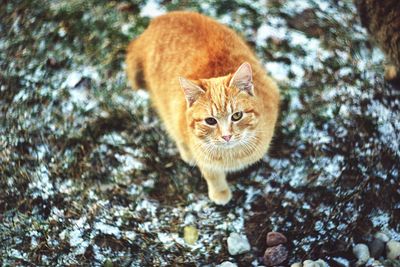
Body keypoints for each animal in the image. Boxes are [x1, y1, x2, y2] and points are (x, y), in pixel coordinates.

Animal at [126, 11, 280, 205]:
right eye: (210, 121)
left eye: (237, 116)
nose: (227, 136)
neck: (232, 155)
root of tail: (157, 20)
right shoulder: (203, 156)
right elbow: (211, 173)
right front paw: (220, 192)